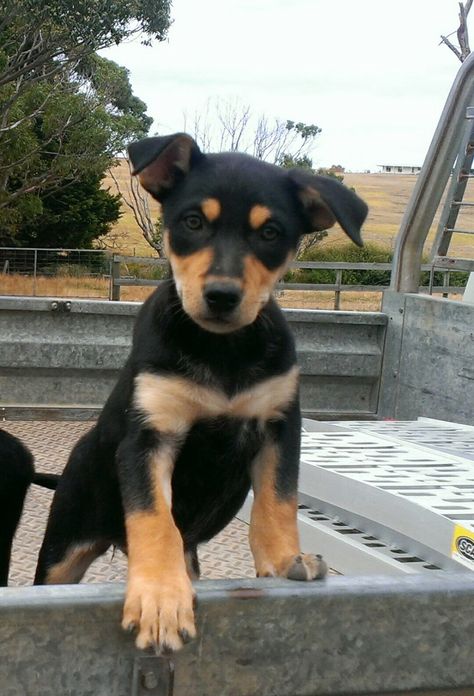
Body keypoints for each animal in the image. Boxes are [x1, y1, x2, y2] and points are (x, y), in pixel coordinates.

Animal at [35, 133, 368, 648]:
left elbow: (277, 502)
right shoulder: (148, 437)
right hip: (61, 550)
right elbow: (154, 520)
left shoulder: (279, 427)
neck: (221, 349)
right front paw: (158, 596)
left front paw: (284, 560)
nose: (222, 296)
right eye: (193, 222)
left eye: (271, 233)